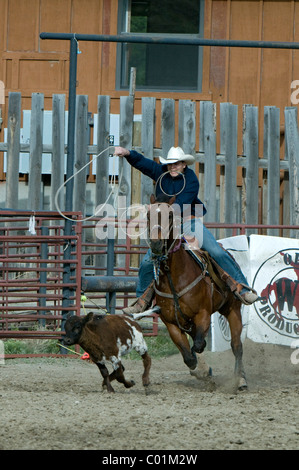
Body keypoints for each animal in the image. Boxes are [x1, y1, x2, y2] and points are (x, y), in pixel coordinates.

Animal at [137, 193, 247, 392]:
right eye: (148, 215)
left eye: (170, 215)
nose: (156, 244)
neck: (174, 276)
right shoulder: (171, 323)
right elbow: (189, 356)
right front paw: (202, 371)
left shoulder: (202, 314)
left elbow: (198, 345)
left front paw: (203, 369)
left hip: (233, 309)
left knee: (237, 346)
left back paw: (240, 380)